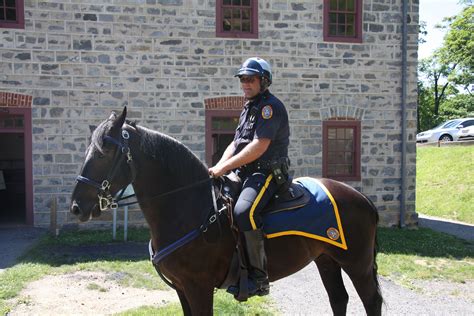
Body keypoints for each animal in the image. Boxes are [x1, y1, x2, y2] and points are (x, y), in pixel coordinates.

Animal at [69, 107, 382, 314]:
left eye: (104, 153)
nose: (76, 206)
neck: (189, 208)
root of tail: (361, 198)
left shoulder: (198, 287)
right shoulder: (183, 289)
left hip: (357, 264)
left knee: (371, 301)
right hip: (327, 259)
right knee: (338, 299)